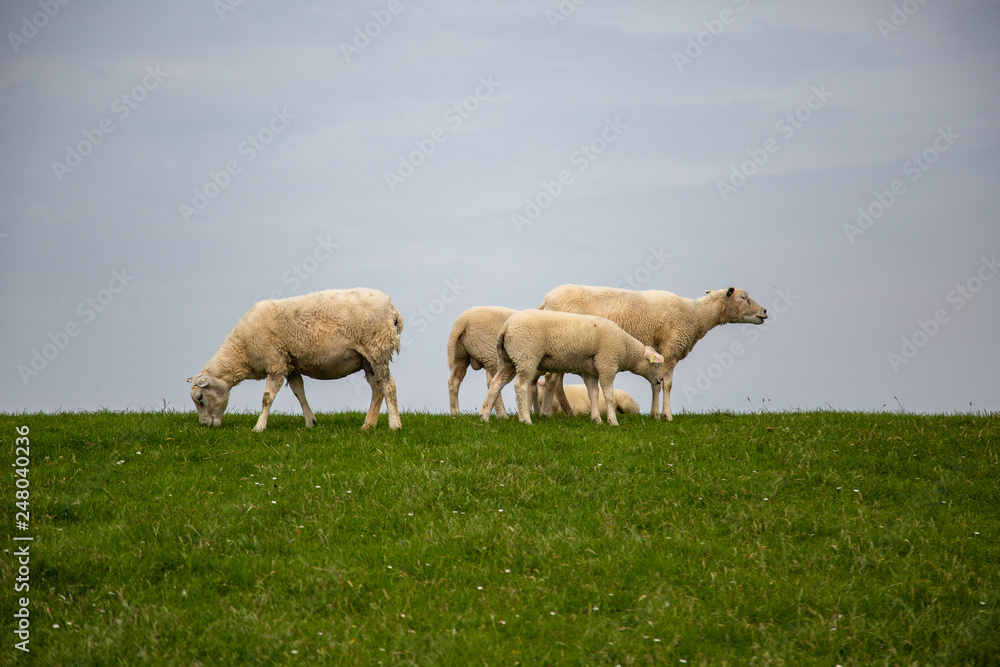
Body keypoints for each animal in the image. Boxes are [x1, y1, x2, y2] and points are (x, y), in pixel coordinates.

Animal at [187, 288, 403, 432]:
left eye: (200, 398)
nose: (205, 426)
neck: (242, 351)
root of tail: (392, 307)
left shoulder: (276, 361)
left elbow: (267, 397)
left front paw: (259, 427)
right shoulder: (290, 364)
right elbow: (299, 391)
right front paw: (310, 422)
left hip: (377, 349)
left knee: (388, 386)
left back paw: (394, 424)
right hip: (367, 357)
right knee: (377, 388)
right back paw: (368, 425)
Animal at [479, 309, 664, 426]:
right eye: (656, 363)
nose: (661, 379)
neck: (626, 348)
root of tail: (506, 327)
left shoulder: (590, 372)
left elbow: (593, 394)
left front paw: (596, 419)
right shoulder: (607, 364)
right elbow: (609, 395)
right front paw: (613, 421)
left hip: (507, 359)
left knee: (496, 383)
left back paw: (484, 416)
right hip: (526, 356)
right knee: (521, 386)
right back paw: (525, 419)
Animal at [538, 285, 767, 421]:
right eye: (743, 297)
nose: (764, 311)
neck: (695, 315)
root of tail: (547, 299)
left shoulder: (659, 352)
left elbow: (656, 383)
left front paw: (655, 414)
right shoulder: (670, 348)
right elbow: (667, 384)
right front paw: (666, 415)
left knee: (554, 381)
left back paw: (561, 412)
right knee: (552, 379)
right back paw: (547, 413)